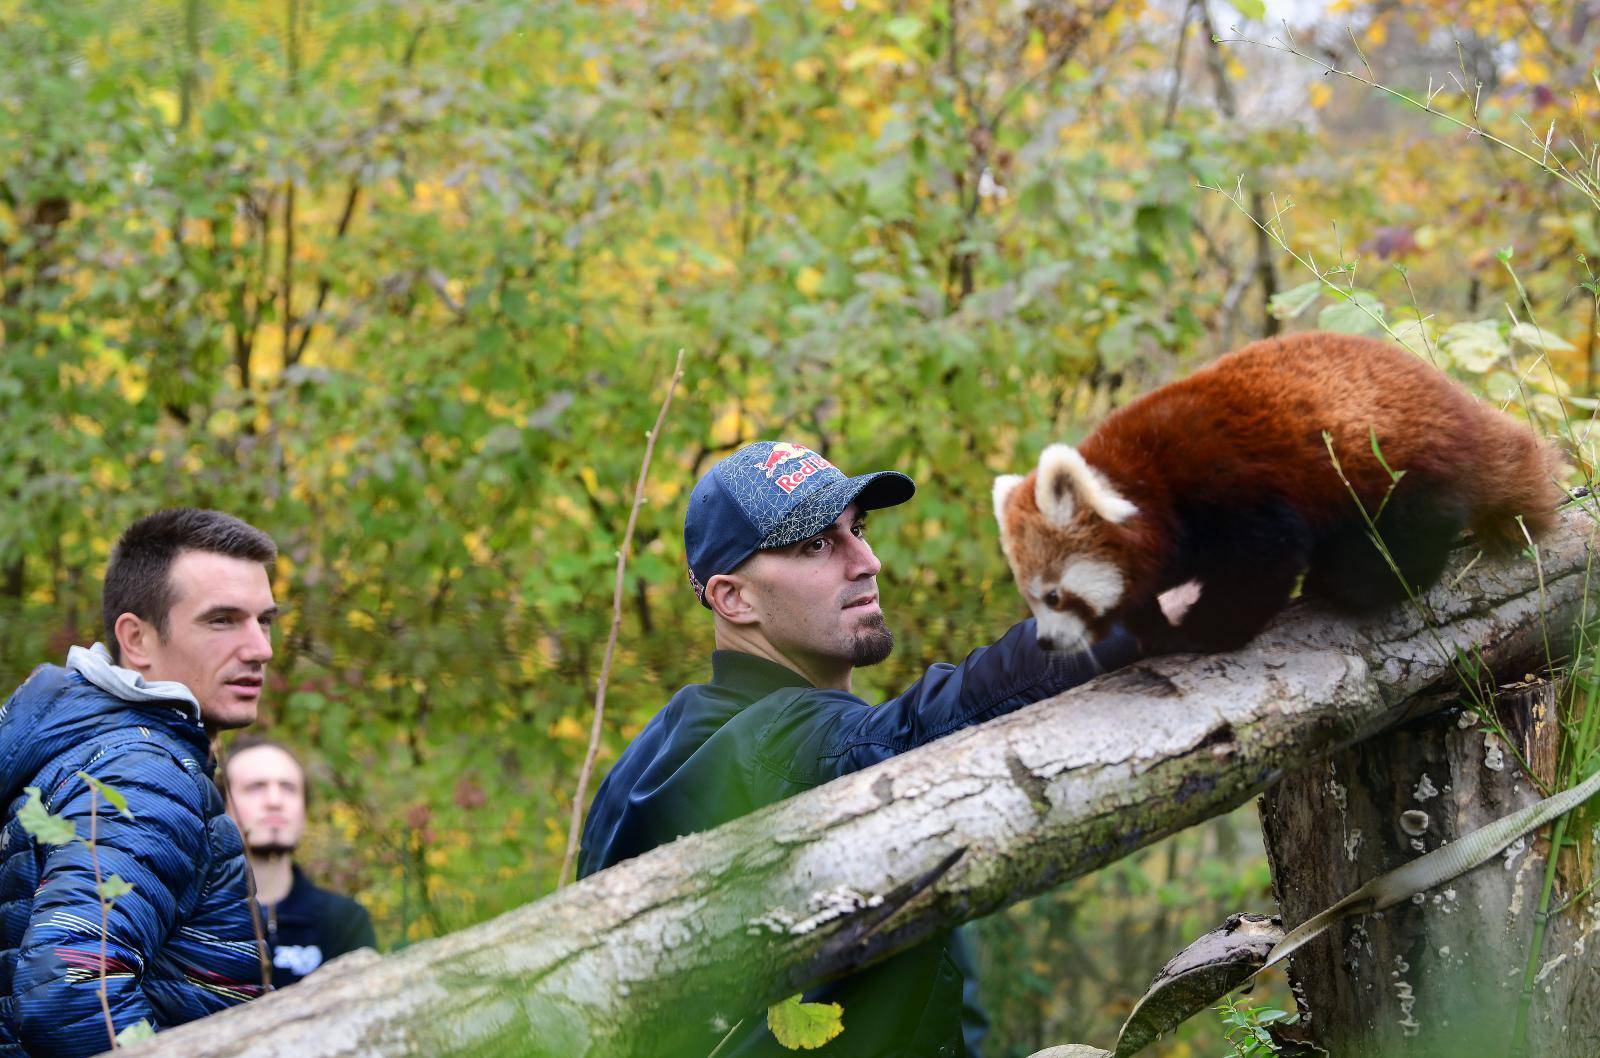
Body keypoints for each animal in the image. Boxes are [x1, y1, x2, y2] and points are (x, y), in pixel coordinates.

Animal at [992, 329, 1568, 653]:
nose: (1045, 643)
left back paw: (1349, 582)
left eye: (1054, 595)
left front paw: (1197, 634)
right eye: (1031, 599)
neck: (1148, 483)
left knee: (1405, 542)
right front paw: (1151, 628)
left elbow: (1264, 563)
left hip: (1400, 469)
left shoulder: (1227, 489)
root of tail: (1461, 405)